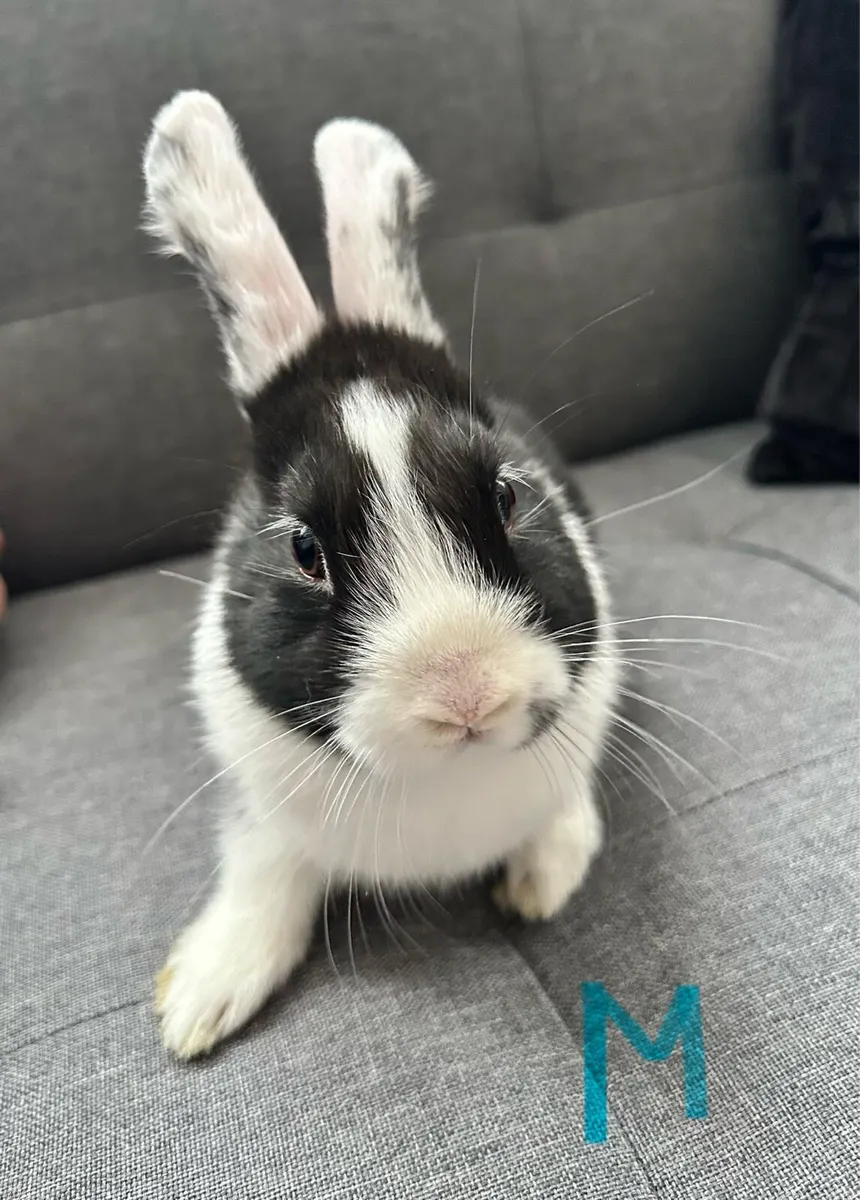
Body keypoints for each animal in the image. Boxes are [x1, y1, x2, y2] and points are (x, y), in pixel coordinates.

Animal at [142, 91, 620, 1059]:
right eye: (302, 548)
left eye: (508, 493)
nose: (466, 696)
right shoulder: (262, 822)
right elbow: (264, 882)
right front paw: (197, 1005)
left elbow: (566, 814)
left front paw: (540, 886)